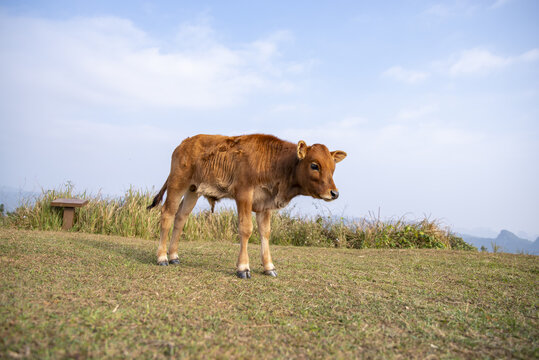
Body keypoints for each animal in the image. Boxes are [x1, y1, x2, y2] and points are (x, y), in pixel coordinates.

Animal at [148, 134, 348, 278]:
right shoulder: (244, 194)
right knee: (167, 214)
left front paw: (268, 266)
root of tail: (185, 142)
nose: (334, 193)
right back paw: (162, 257)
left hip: (193, 190)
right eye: (314, 165)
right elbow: (246, 229)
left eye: (333, 168)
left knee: (181, 218)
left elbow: (265, 233)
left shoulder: (264, 204)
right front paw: (243, 267)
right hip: (177, 183)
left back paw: (174, 256)